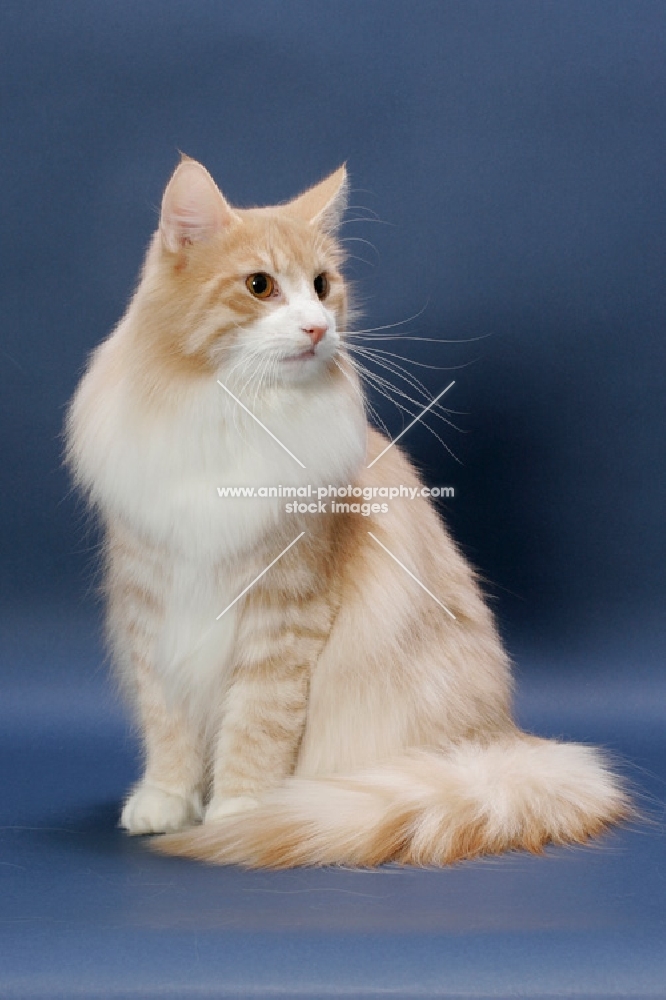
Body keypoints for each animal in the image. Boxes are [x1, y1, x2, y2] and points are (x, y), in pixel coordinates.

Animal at [65, 156, 624, 868]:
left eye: (323, 286)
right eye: (260, 286)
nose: (316, 327)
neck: (235, 416)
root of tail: (501, 746)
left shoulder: (283, 611)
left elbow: (256, 724)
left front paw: (239, 812)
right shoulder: (152, 604)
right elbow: (169, 725)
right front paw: (167, 801)